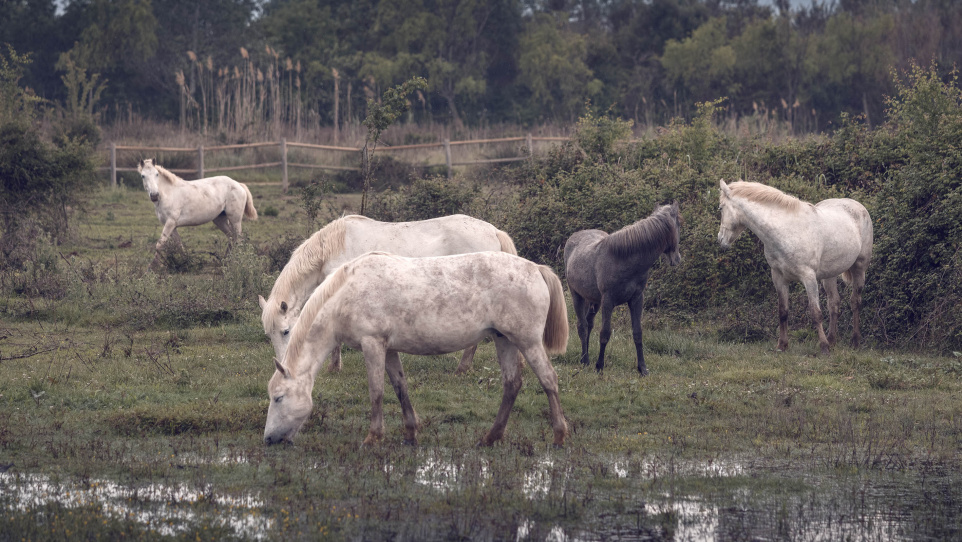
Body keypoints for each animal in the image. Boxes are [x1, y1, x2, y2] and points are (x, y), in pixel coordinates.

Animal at [256, 215, 516, 376]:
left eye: (286, 331)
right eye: (269, 334)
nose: (283, 366)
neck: (332, 249)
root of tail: (493, 231)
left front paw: (334, 367)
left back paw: (462, 368)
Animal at [260, 253, 568, 448]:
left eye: (278, 398)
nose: (269, 439)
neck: (345, 295)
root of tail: (535, 268)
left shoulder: (372, 345)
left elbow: (377, 392)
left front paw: (373, 437)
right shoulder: (388, 349)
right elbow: (400, 387)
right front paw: (410, 433)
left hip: (527, 342)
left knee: (549, 380)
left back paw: (559, 436)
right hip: (504, 340)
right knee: (512, 384)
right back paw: (490, 438)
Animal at [564, 202, 684, 376]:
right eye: (679, 224)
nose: (677, 259)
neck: (624, 259)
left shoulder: (636, 299)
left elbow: (637, 333)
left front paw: (642, 368)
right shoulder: (608, 301)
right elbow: (605, 333)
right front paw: (599, 366)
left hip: (594, 301)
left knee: (589, 324)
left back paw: (584, 358)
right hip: (577, 296)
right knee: (582, 326)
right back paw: (585, 361)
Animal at [712, 180, 872, 356]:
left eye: (720, 208)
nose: (720, 240)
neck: (785, 231)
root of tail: (857, 205)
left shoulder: (808, 277)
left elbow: (815, 313)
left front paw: (823, 348)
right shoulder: (778, 277)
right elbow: (783, 311)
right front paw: (782, 345)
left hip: (859, 268)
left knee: (855, 302)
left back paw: (854, 342)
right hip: (829, 275)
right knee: (834, 303)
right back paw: (832, 340)